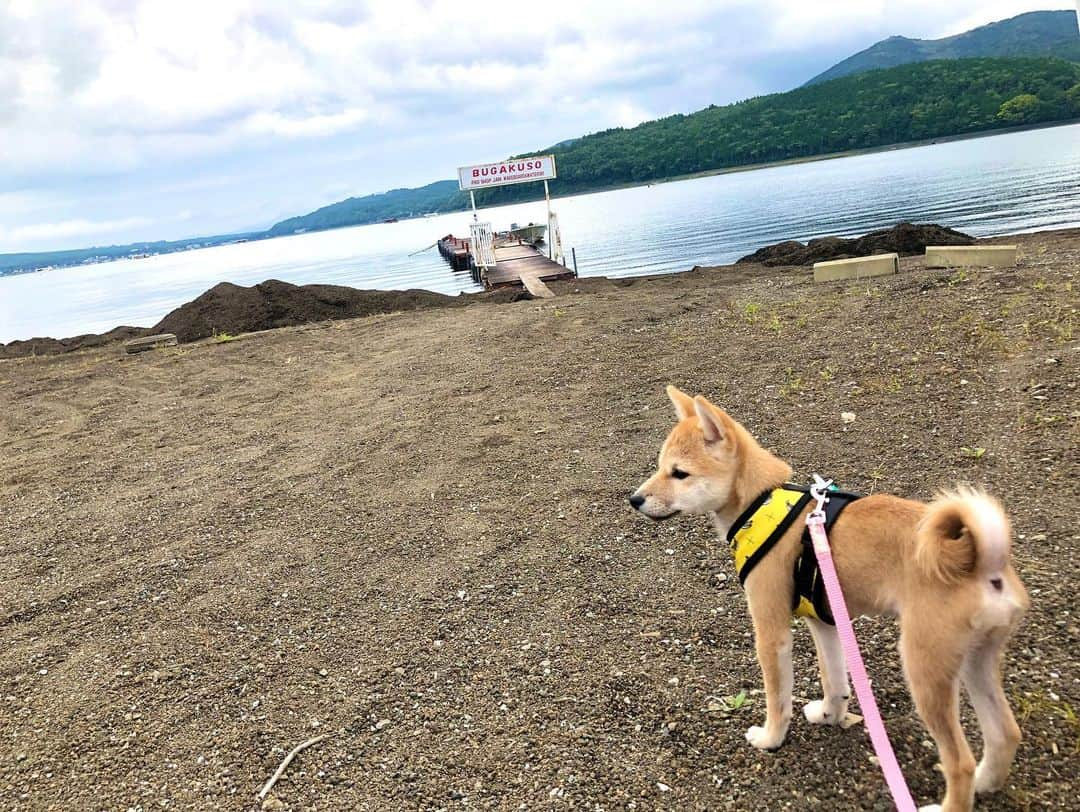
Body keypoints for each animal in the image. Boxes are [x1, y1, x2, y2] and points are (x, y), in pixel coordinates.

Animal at [630, 386, 1028, 812]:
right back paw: (986, 782)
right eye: (660, 466)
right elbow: (835, 679)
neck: (760, 502)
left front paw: (770, 738)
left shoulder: (772, 631)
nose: (634, 499)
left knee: (960, 762)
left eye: (679, 473)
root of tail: (981, 560)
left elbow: (778, 698)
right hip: (974, 661)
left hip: (926, 669)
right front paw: (829, 715)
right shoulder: (825, 621)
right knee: (1005, 733)